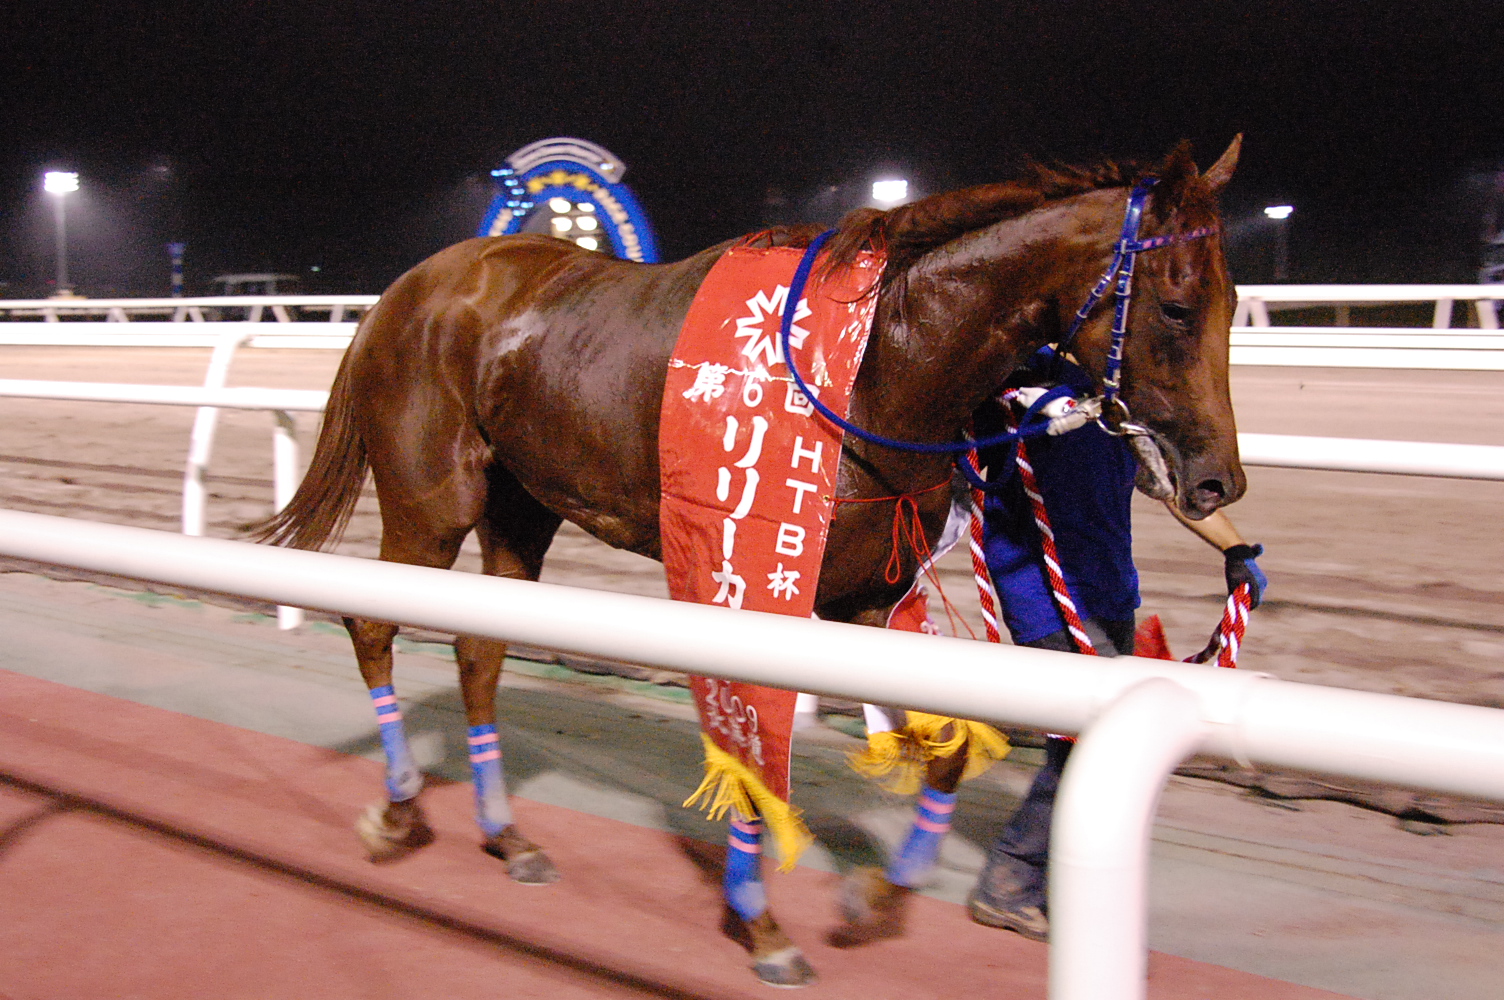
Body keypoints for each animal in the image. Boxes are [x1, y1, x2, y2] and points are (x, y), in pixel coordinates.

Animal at [254, 136, 1244, 986]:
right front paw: (763, 925)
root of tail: (403, 290)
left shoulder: (869, 594)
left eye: (1232, 305)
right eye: (1176, 306)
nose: (1216, 481)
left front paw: (871, 899)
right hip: (431, 501)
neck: (877, 364)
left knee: (479, 651)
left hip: (520, 508)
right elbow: (754, 750)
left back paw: (508, 835)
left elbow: (946, 748)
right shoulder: (756, 578)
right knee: (373, 620)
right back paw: (396, 807)